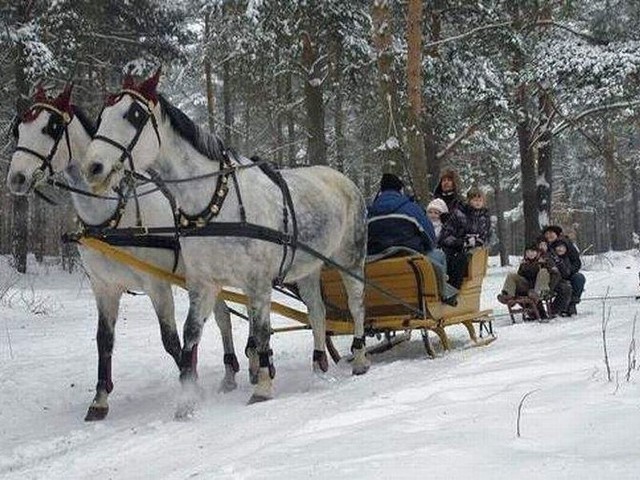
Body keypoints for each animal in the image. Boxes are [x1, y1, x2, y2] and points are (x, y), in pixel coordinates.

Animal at [5, 85, 240, 420]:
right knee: (221, 315)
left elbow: (170, 341)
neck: (114, 217)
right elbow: (104, 340)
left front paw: (191, 386)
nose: (17, 178)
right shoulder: (103, 287)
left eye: (52, 127)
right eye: (18, 129)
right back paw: (230, 370)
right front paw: (100, 399)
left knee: (222, 317)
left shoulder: (157, 285)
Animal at [80, 71, 370, 406]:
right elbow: (191, 333)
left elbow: (261, 332)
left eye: (134, 114)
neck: (217, 203)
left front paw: (262, 385)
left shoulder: (257, 282)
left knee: (356, 305)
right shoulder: (203, 282)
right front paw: (188, 398)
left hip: (351, 258)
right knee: (317, 312)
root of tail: (346, 180)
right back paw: (318, 365)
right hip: (307, 268)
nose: (92, 167)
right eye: (102, 115)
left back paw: (360, 358)